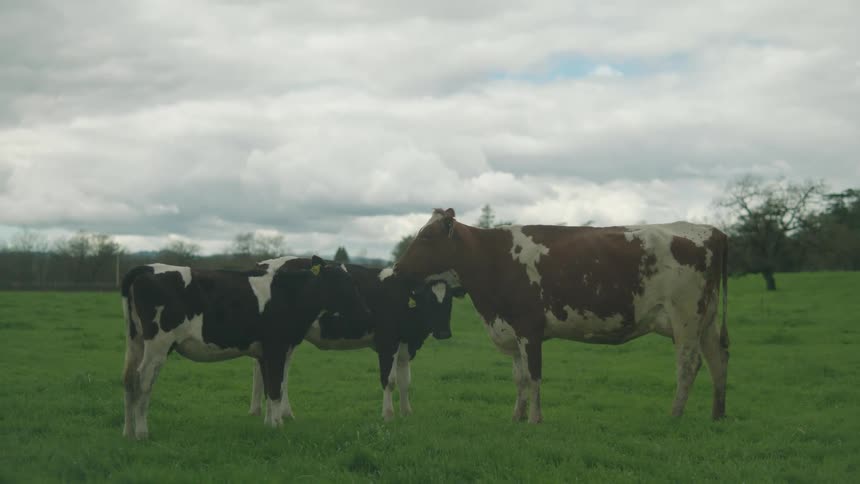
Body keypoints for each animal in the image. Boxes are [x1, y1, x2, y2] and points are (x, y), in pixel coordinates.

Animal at [120, 255, 370, 439]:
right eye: (343, 283)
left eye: (353, 282)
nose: (365, 310)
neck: (289, 293)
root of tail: (147, 268)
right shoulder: (277, 347)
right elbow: (276, 388)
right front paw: (278, 426)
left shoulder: (265, 353)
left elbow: (270, 387)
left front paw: (270, 424)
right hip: (158, 344)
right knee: (144, 379)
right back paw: (142, 432)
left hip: (136, 340)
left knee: (129, 378)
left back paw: (128, 432)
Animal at [247, 257, 466, 421]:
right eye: (429, 301)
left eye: (449, 302)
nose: (444, 333)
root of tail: (263, 263)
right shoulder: (387, 342)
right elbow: (390, 380)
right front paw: (388, 414)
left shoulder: (406, 345)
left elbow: (406, 381)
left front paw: (406, 413)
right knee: (277, 373)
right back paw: (280, 413)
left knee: (265, 369)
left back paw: (261, 410)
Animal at [394, 208, 729, 423]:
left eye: (426, 236)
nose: (397, 268)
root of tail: (710, 230)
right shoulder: (511, 330)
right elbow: (519, 377)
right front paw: (516, 416)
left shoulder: (529, 329)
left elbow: (533, 376)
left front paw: (534, 419)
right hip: (707, 321)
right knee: (718, 359)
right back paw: (717, 415)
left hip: (685, 318)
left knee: (689, 365)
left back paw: (675, 415)